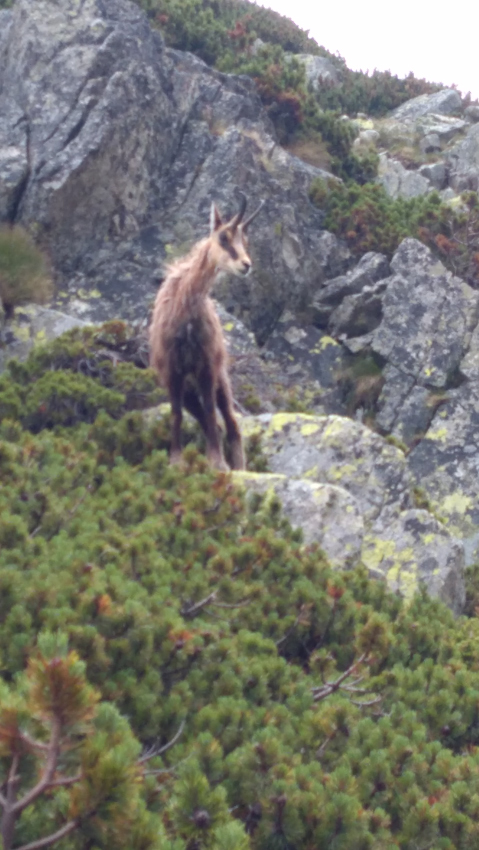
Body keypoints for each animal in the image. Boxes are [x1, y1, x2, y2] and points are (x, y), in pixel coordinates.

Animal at [149, 194, 264, 470]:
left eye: (245, 241)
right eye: (223, 237)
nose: (246, 265)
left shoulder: (207, 366)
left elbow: (212, 412)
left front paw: (217, 462)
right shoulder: (172, 370)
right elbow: (176, 413)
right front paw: (176, 460)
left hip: (221, 379)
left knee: (231, 423)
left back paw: (239, 467)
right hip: (190, 391)